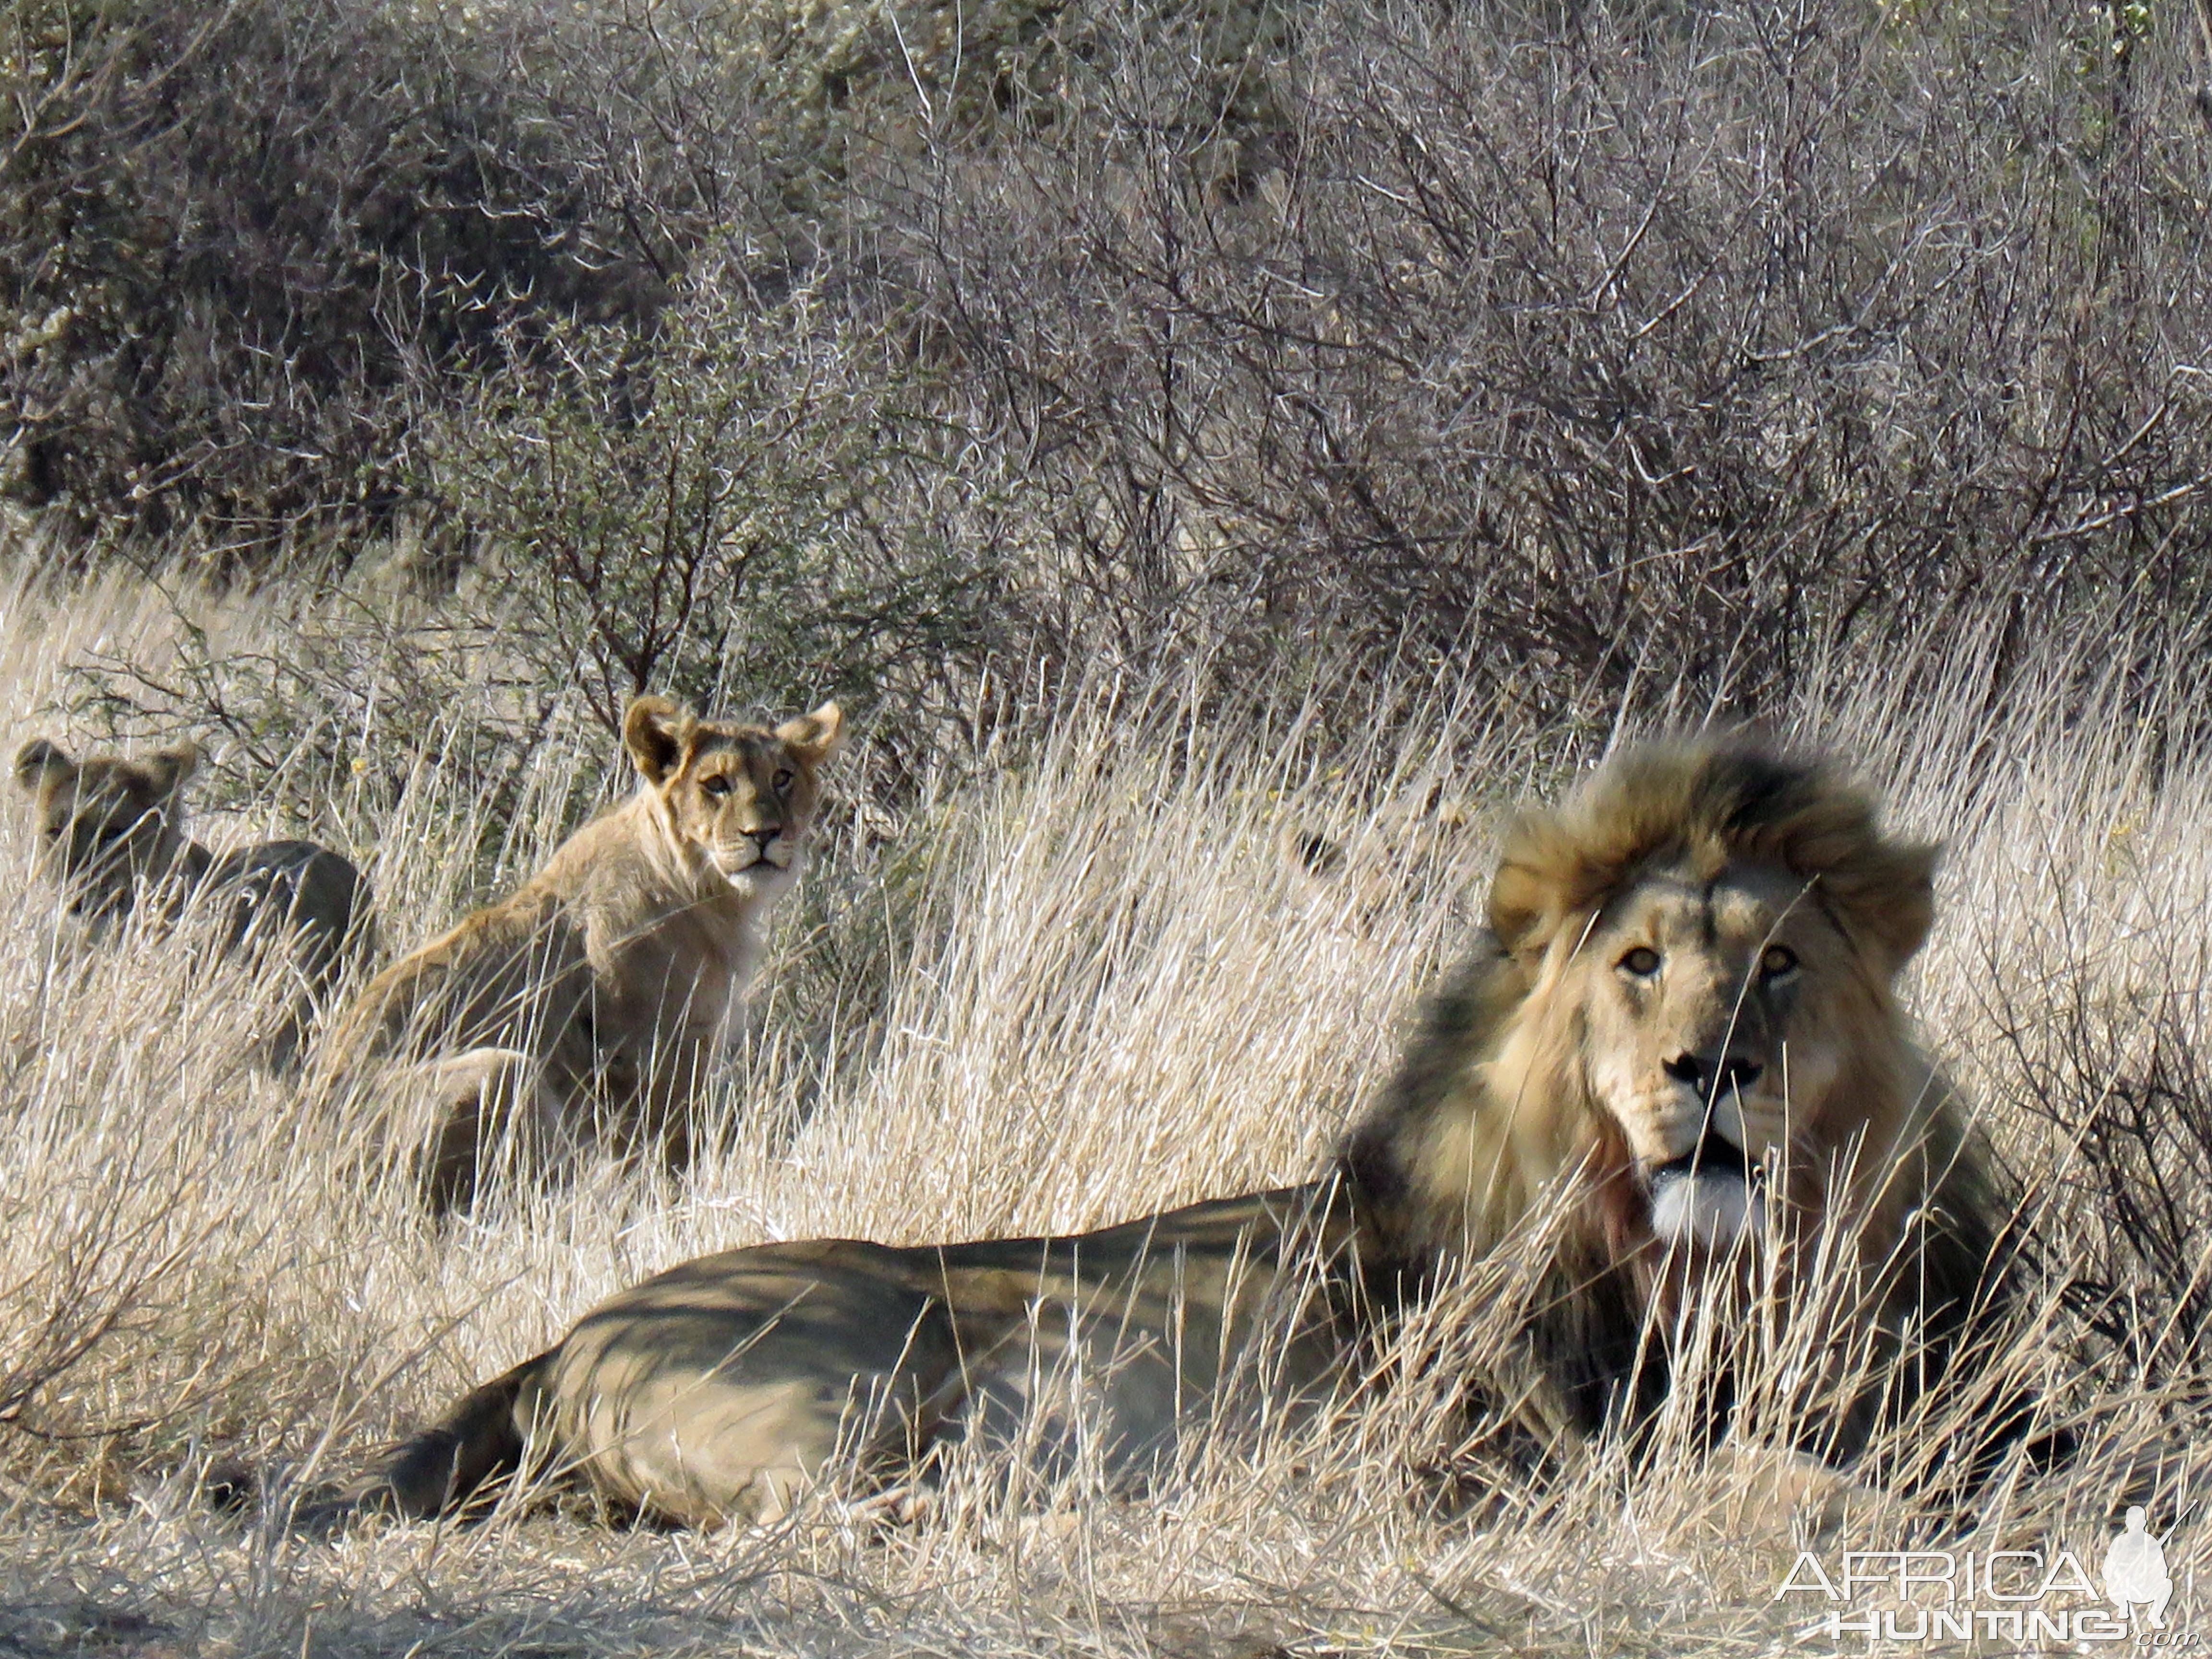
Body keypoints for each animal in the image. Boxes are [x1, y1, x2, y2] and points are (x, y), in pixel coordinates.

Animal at [323, 690, 845, 1212]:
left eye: (783, 778)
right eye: (716, 784)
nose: (765, 834)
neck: (708, 891)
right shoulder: (652, 1053)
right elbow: (673, 1152)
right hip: (501, 1068)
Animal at [358, 739, 2026, 1530]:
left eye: (1781, 962)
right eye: (1638, 963)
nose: (1713, 1066)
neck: (1689, 1257)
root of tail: (570, 1333)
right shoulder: (1508, 1458)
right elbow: (1785, 1487)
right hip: (843, 1399)